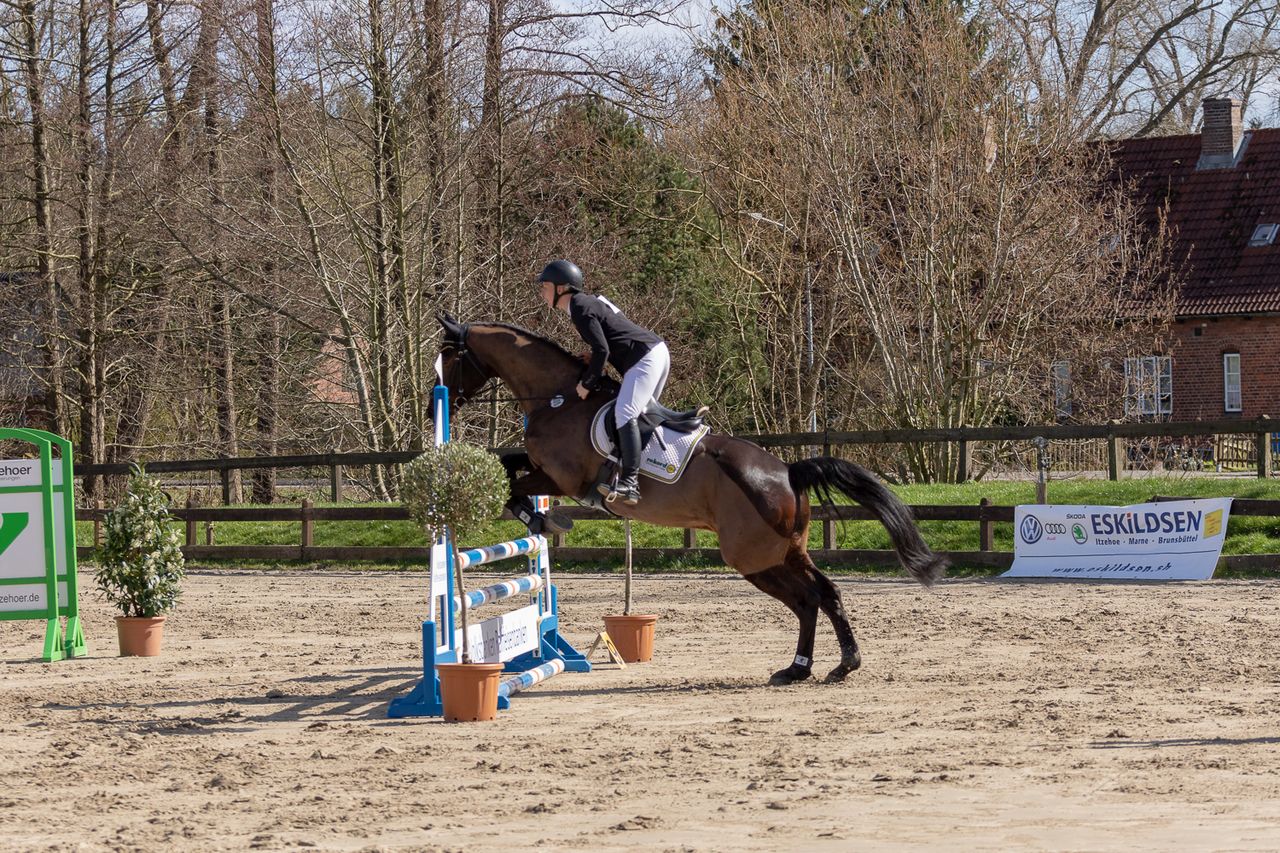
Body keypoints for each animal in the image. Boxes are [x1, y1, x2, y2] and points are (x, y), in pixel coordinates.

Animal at [436, 316, 946, 685]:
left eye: (448, 357)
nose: (431, 406)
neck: (559, 398)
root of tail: (788, 472)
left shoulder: (562, 477)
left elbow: (511, 482)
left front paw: (541, 521)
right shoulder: (545, 470)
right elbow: (507, 463)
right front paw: (537, 520)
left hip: (753, 557)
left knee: (810, 598)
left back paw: (820, 666)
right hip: (785, 551)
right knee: (822, 595)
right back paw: (818, 667)